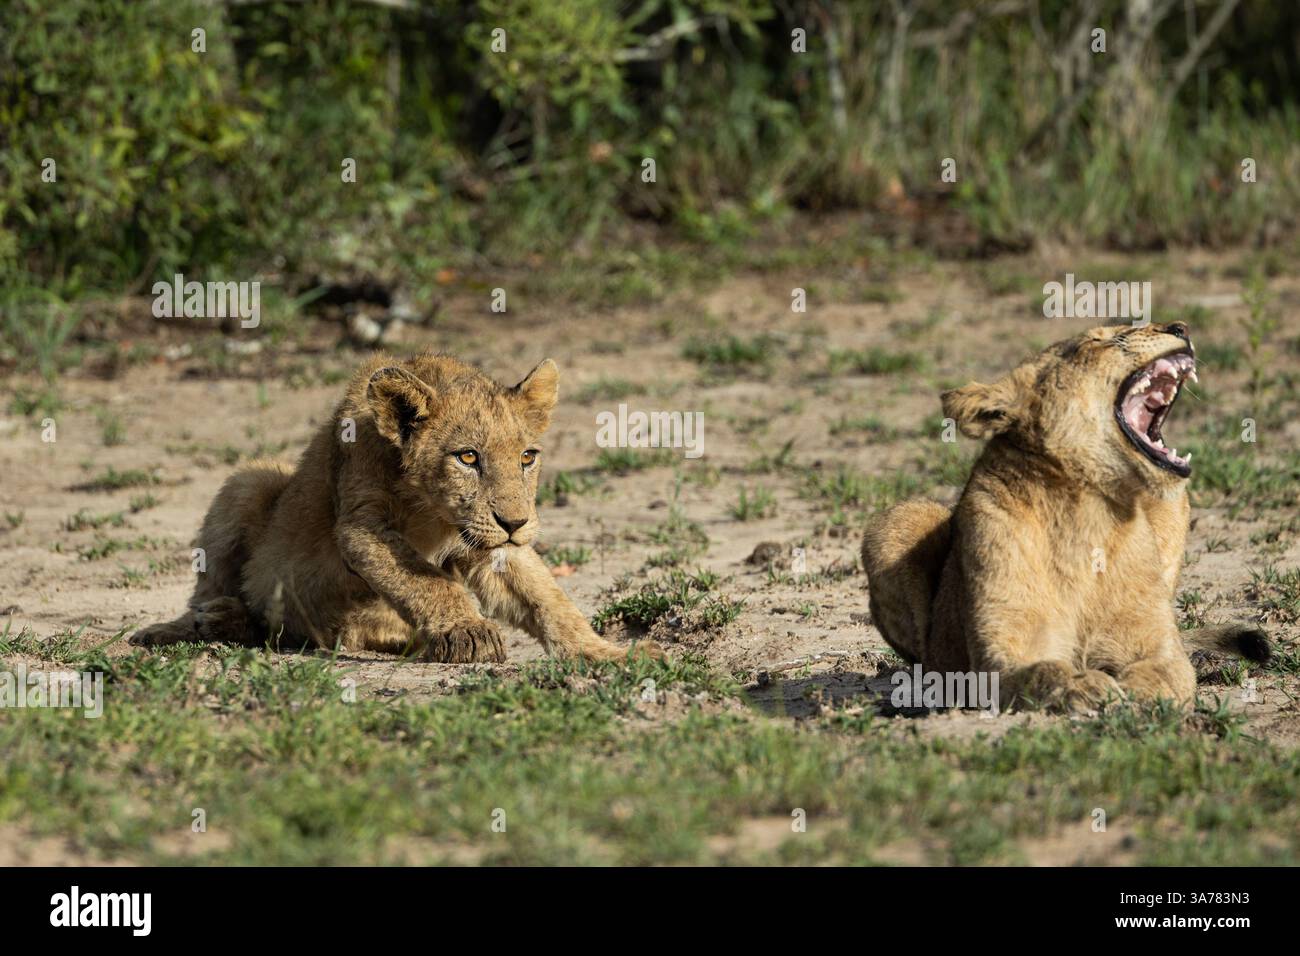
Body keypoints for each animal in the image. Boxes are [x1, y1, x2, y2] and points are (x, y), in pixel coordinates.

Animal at [131, 352, 661, 664]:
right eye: (468, 457)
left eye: (527, 457)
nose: (515, 522)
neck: (432, 510)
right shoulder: (361, 524)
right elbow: (426, 580)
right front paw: (469, 630)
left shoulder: (487, 544)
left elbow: (548, 599)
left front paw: (608, 652)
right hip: (250, 479)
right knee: (212, 592)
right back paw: (195, 622)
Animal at [861, 322, 1270, 712]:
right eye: (1096, 342)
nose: (1180, 328)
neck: (1088, 511)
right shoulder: (999, 658)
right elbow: (1044, 671)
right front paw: (1086, 686)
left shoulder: (1158, 644)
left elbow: (1166, 670)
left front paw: (1138, 694)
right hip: (898, 519)